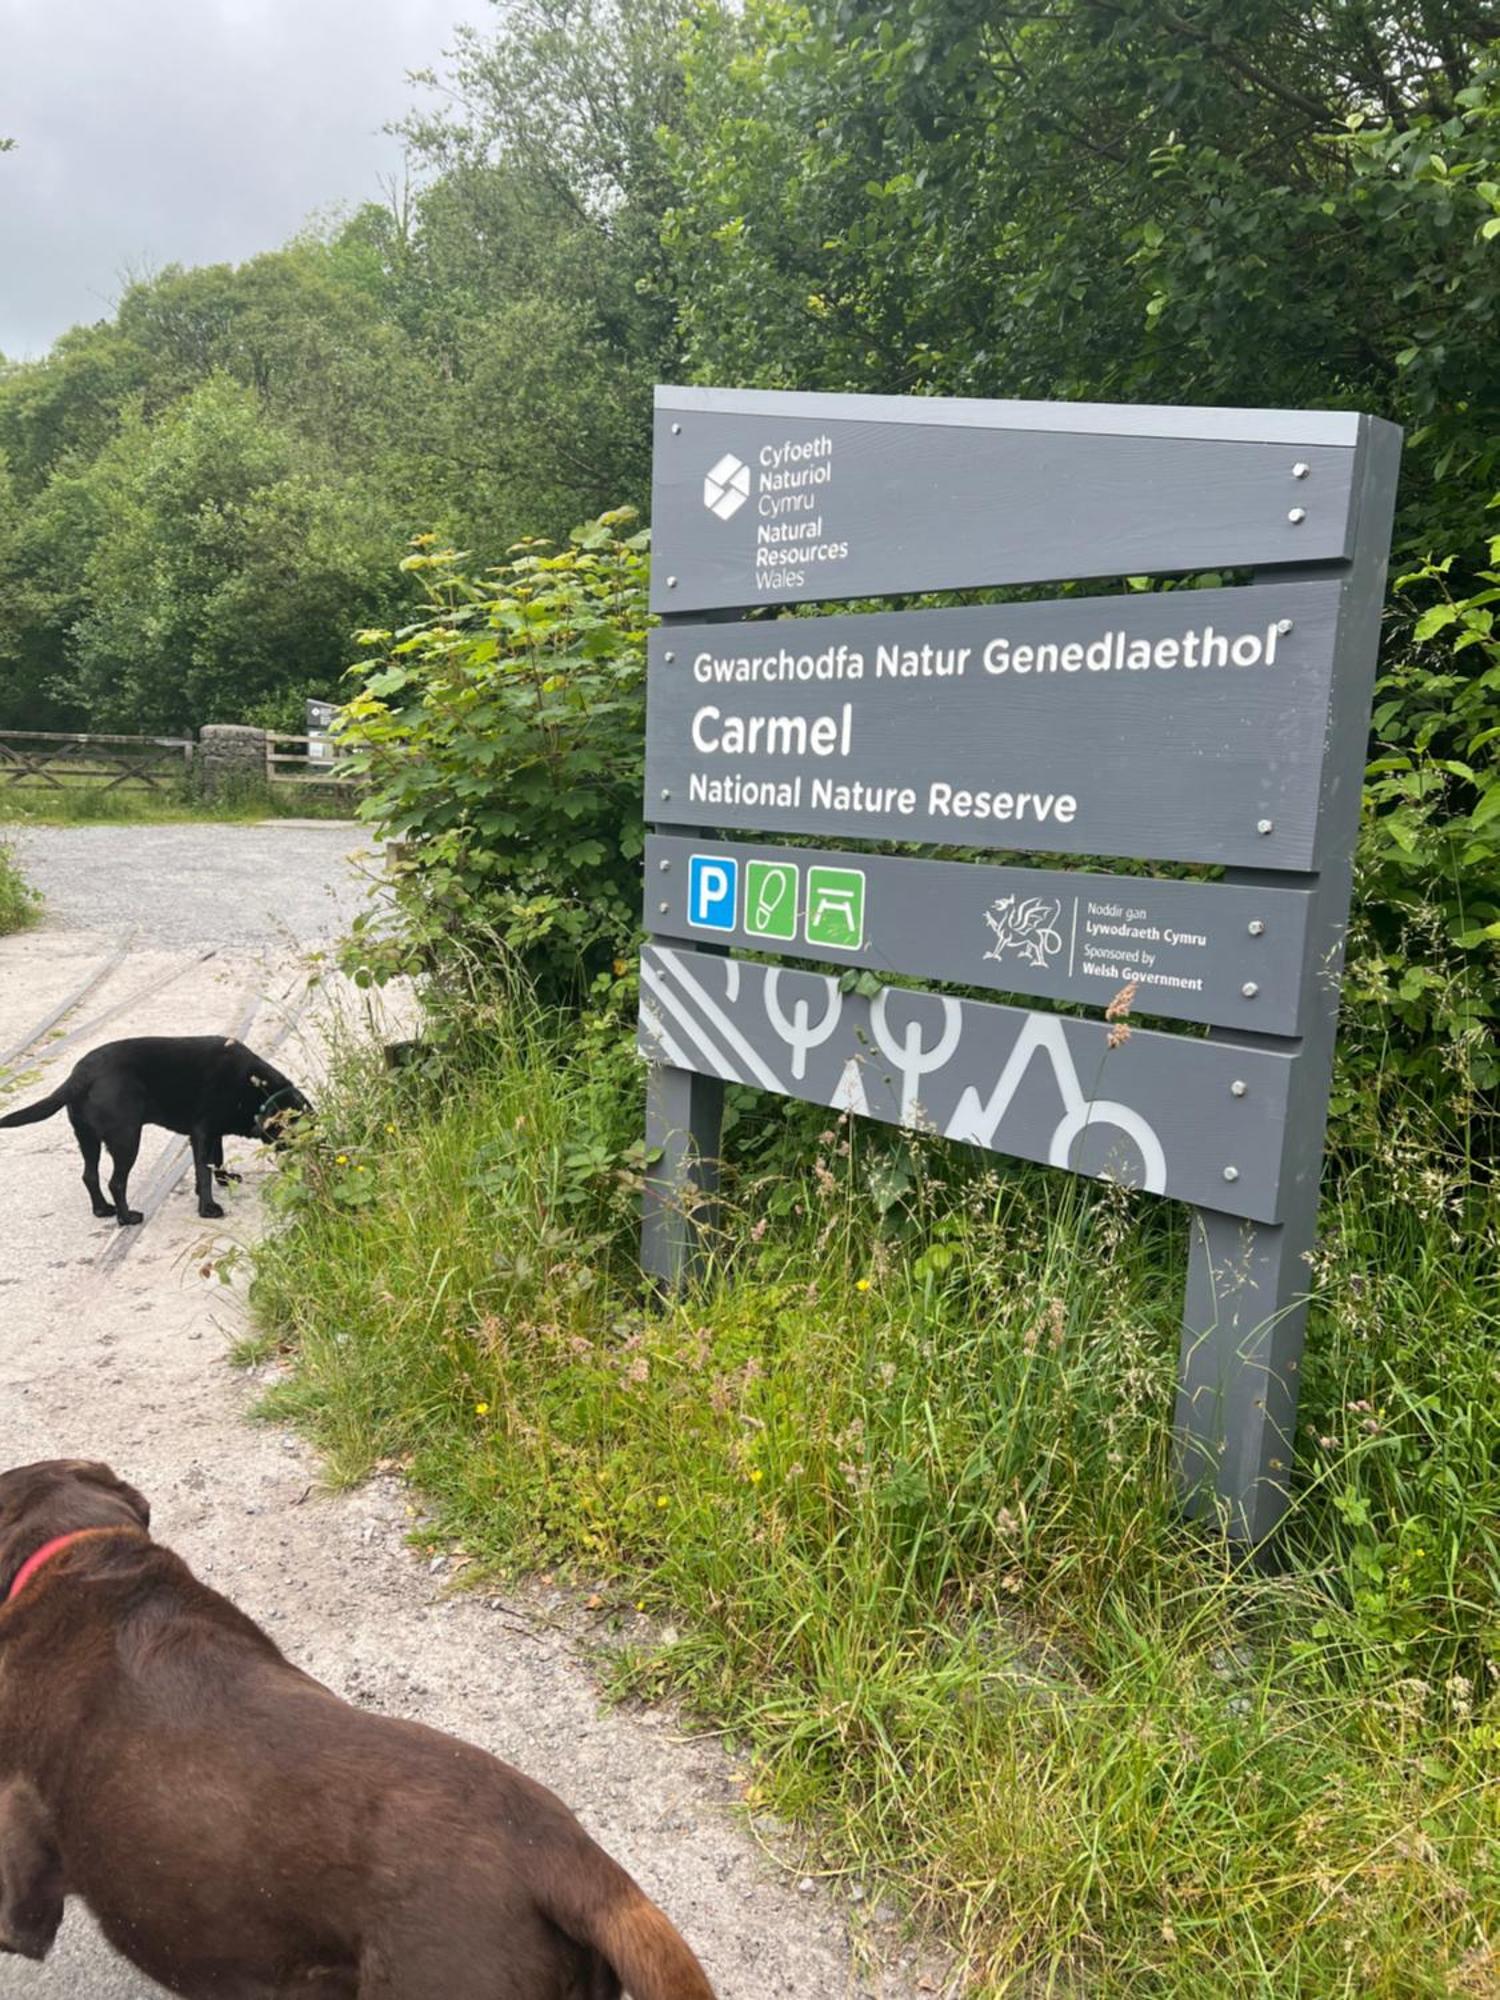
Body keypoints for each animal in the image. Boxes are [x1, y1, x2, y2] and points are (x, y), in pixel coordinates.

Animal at [0, 1040, 312, 1224]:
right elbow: (204, 1169)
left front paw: (224, 1180)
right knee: (116, 1182)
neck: (258, 1090)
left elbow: (217, 1160)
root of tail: (79, 1076)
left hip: (88, 1139)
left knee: (89, 1175)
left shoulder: (214, 1132)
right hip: (127, 1139)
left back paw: (102, 1210)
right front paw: (208, 1208)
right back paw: (127, 1217)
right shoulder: (202, 1131)